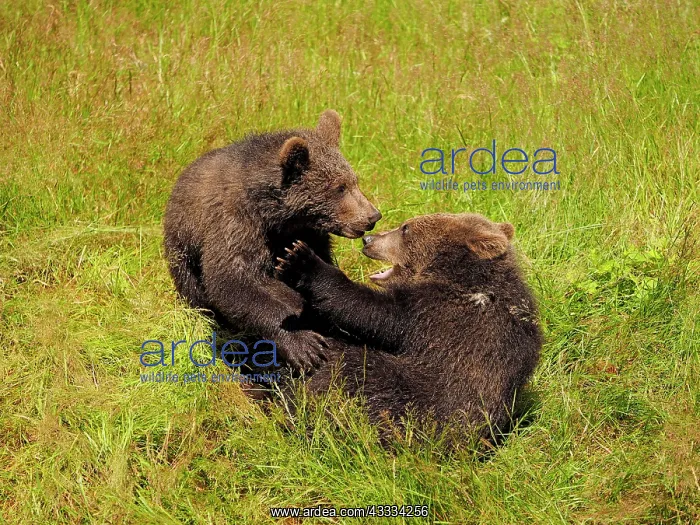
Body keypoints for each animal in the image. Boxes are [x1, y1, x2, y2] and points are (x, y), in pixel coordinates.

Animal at [163, 110, 381, 372]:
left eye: (354, 180)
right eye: (340, 187)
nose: (372, 216)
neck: (275, 215)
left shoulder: (309, 234)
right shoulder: (236, 223)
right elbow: (232, 280)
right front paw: (304, 346)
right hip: (183, 253)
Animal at [275, 212, 542, 442]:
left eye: (405, 228)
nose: (368, 239)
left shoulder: (435, 313)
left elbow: (372, 312)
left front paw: (301, 260)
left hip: (404, 401)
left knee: (347, 366)